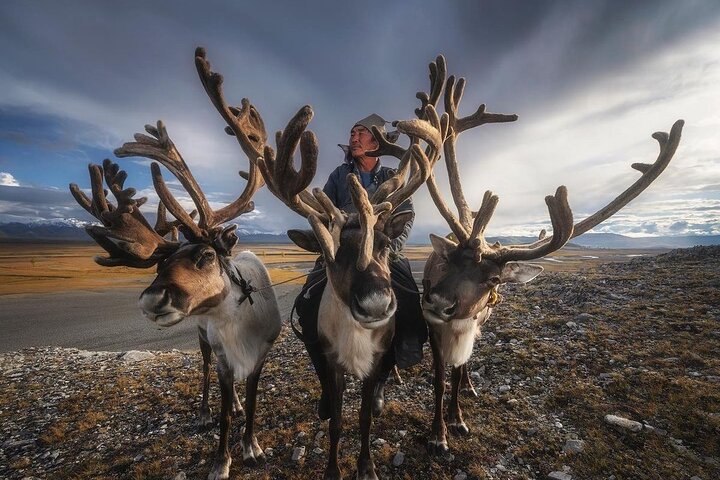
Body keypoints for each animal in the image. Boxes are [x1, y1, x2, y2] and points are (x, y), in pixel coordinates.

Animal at [69, 48, 284, 480]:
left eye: (205, 256)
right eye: (158, 266)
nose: (152, 299)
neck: (238, 322)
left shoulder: (259, 356)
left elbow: (252, 403)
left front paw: (252, 446)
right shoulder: (222, 356)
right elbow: (224, 408)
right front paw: (221, 459)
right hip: (202, 339)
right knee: (204, 372)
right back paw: (204, 411)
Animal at [402, 55, 684, 455]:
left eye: (493, 279)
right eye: (448, 260)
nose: (438, 302)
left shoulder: (469, 324)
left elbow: (456, 377)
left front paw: (457, 418)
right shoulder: (436, 329)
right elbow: (440, 380)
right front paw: (437, 434)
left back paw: (470, 383)